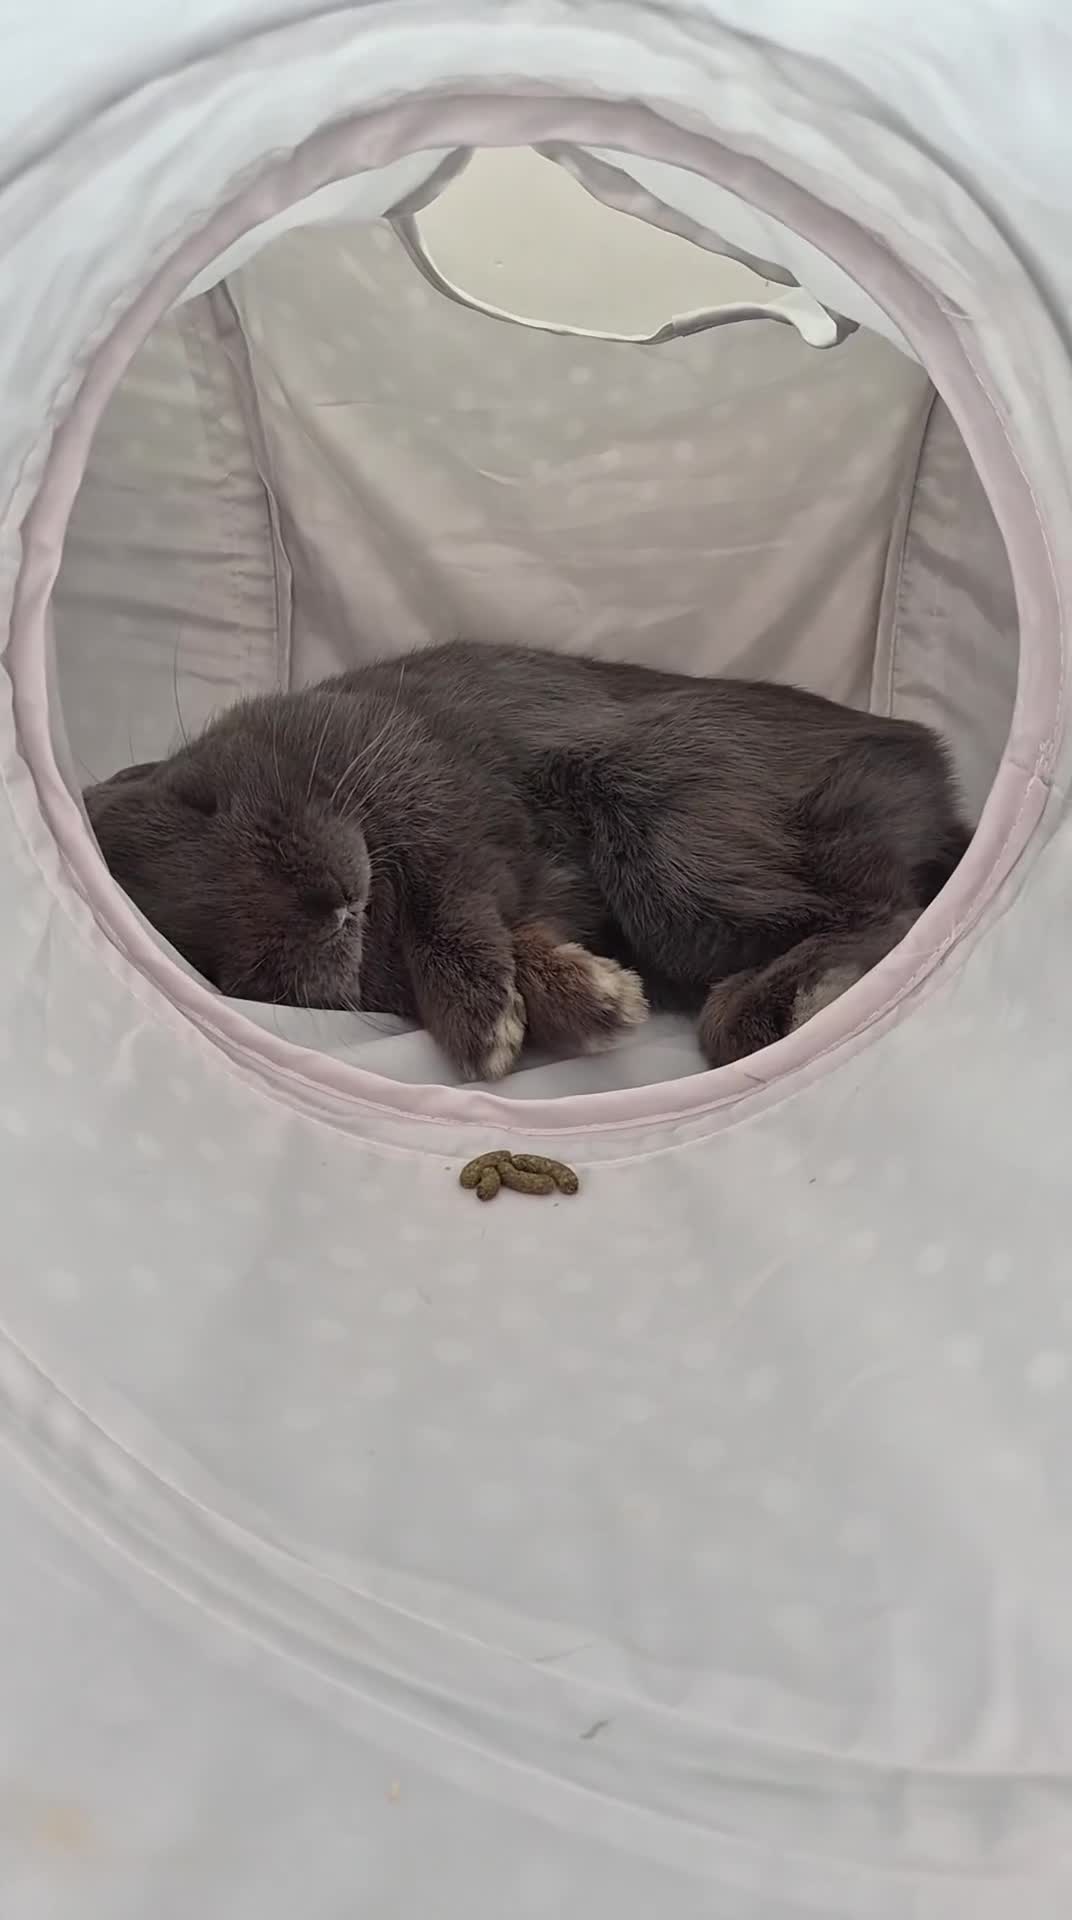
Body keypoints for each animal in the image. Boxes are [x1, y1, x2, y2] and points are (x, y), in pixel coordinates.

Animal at [84, 638, 969, 1079]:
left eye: (200, 797)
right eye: (222, 965)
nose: (330, 903)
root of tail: (937, 782)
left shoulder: (434, 791)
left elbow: (452, 904)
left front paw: (485, 1029)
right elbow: (522, 938)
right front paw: (595, 1003)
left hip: (672, 845)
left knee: (890, 912)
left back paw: (791, 1001)